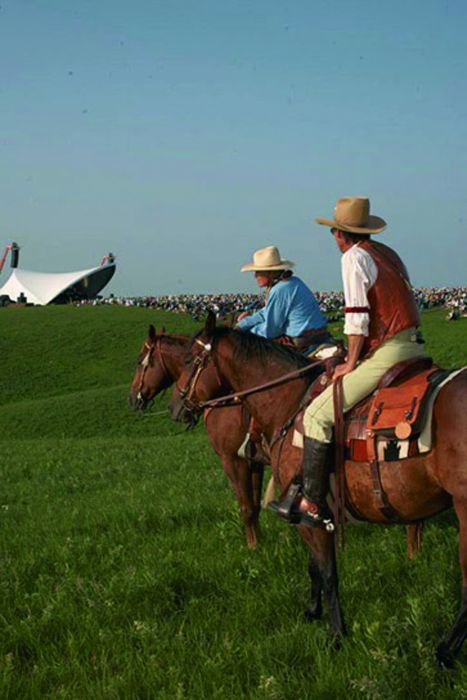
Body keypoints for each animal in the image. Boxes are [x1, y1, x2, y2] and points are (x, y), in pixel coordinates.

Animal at [130, 326, 266, 548]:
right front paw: (260, 542)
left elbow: (246, 507)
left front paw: (253, 547)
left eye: (139, 360)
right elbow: (255, 505)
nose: (132, 398)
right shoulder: (254, 460)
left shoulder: (232, 459)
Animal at [170, 312, 467, 668]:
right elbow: (314, 566)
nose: (175, 407)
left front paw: (336, 634)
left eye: (189, 360)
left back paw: (446, 651)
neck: (289, 403)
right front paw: (313, 611)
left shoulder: (308, 512)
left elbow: (327, 571)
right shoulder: (309, 513)